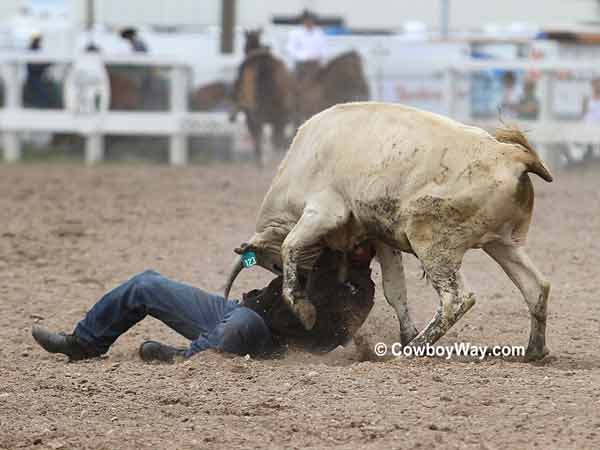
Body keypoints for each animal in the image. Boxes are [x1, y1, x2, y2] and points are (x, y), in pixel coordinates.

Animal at [231, 30, 294, 167]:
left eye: (245, 46)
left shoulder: (251, 117)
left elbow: (257, 139)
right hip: (280, 116)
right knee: (276, 139)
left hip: (260, 116)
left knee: (264, 139)